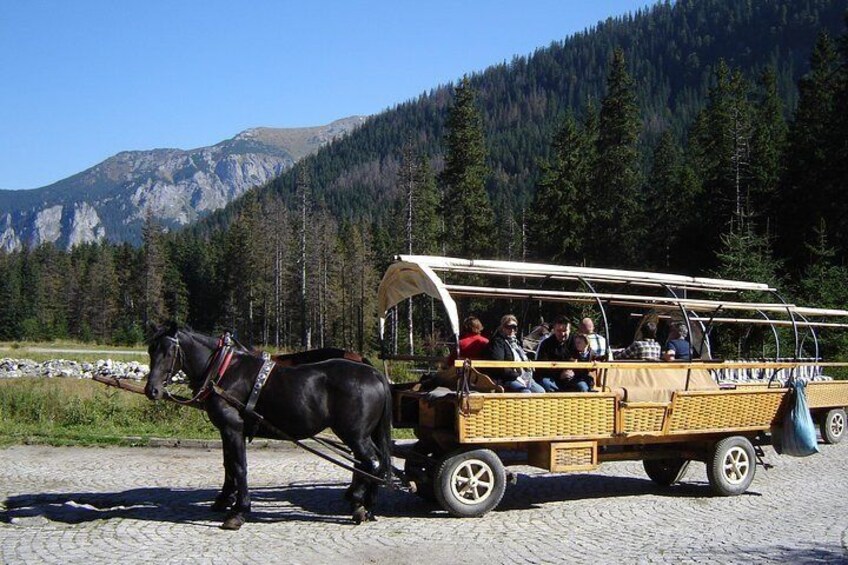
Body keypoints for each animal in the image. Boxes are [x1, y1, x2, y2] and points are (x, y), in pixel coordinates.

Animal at [146, 324, 394, 528]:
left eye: (169, 352)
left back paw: (360, 504)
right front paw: (224, 499)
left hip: (355, 434)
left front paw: (239, 511)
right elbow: (228, 465)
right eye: (151, 350)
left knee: (371, 463)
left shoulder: (232, 427)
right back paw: (365, 504)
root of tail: (375, 374)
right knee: (373, 462)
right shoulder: (226, 430)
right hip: (364, 434)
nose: (152, 390)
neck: (224, 369)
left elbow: (239, 467)